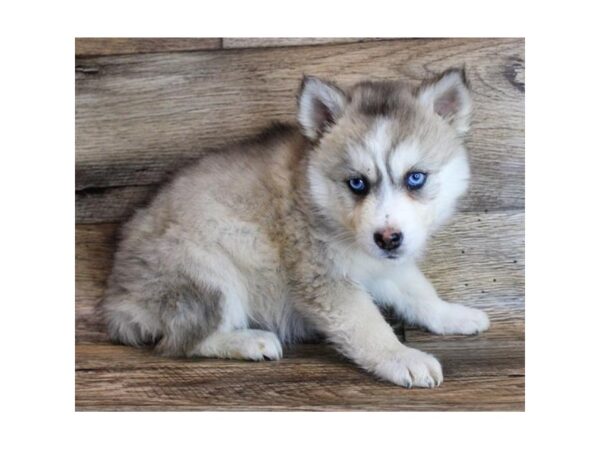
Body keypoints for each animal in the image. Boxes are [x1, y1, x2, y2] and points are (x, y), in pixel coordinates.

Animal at [102, 67, 488, 386]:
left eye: (416, 178)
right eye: (357, 183)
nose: (387, 239)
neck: (320, 200)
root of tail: (118, 300)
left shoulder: (384, 264)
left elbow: (418, 291)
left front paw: (451, 314)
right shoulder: (323, 277)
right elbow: (367, 325)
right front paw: (401, 357)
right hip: (206, 268)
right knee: (182, 342)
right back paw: (248, 340)